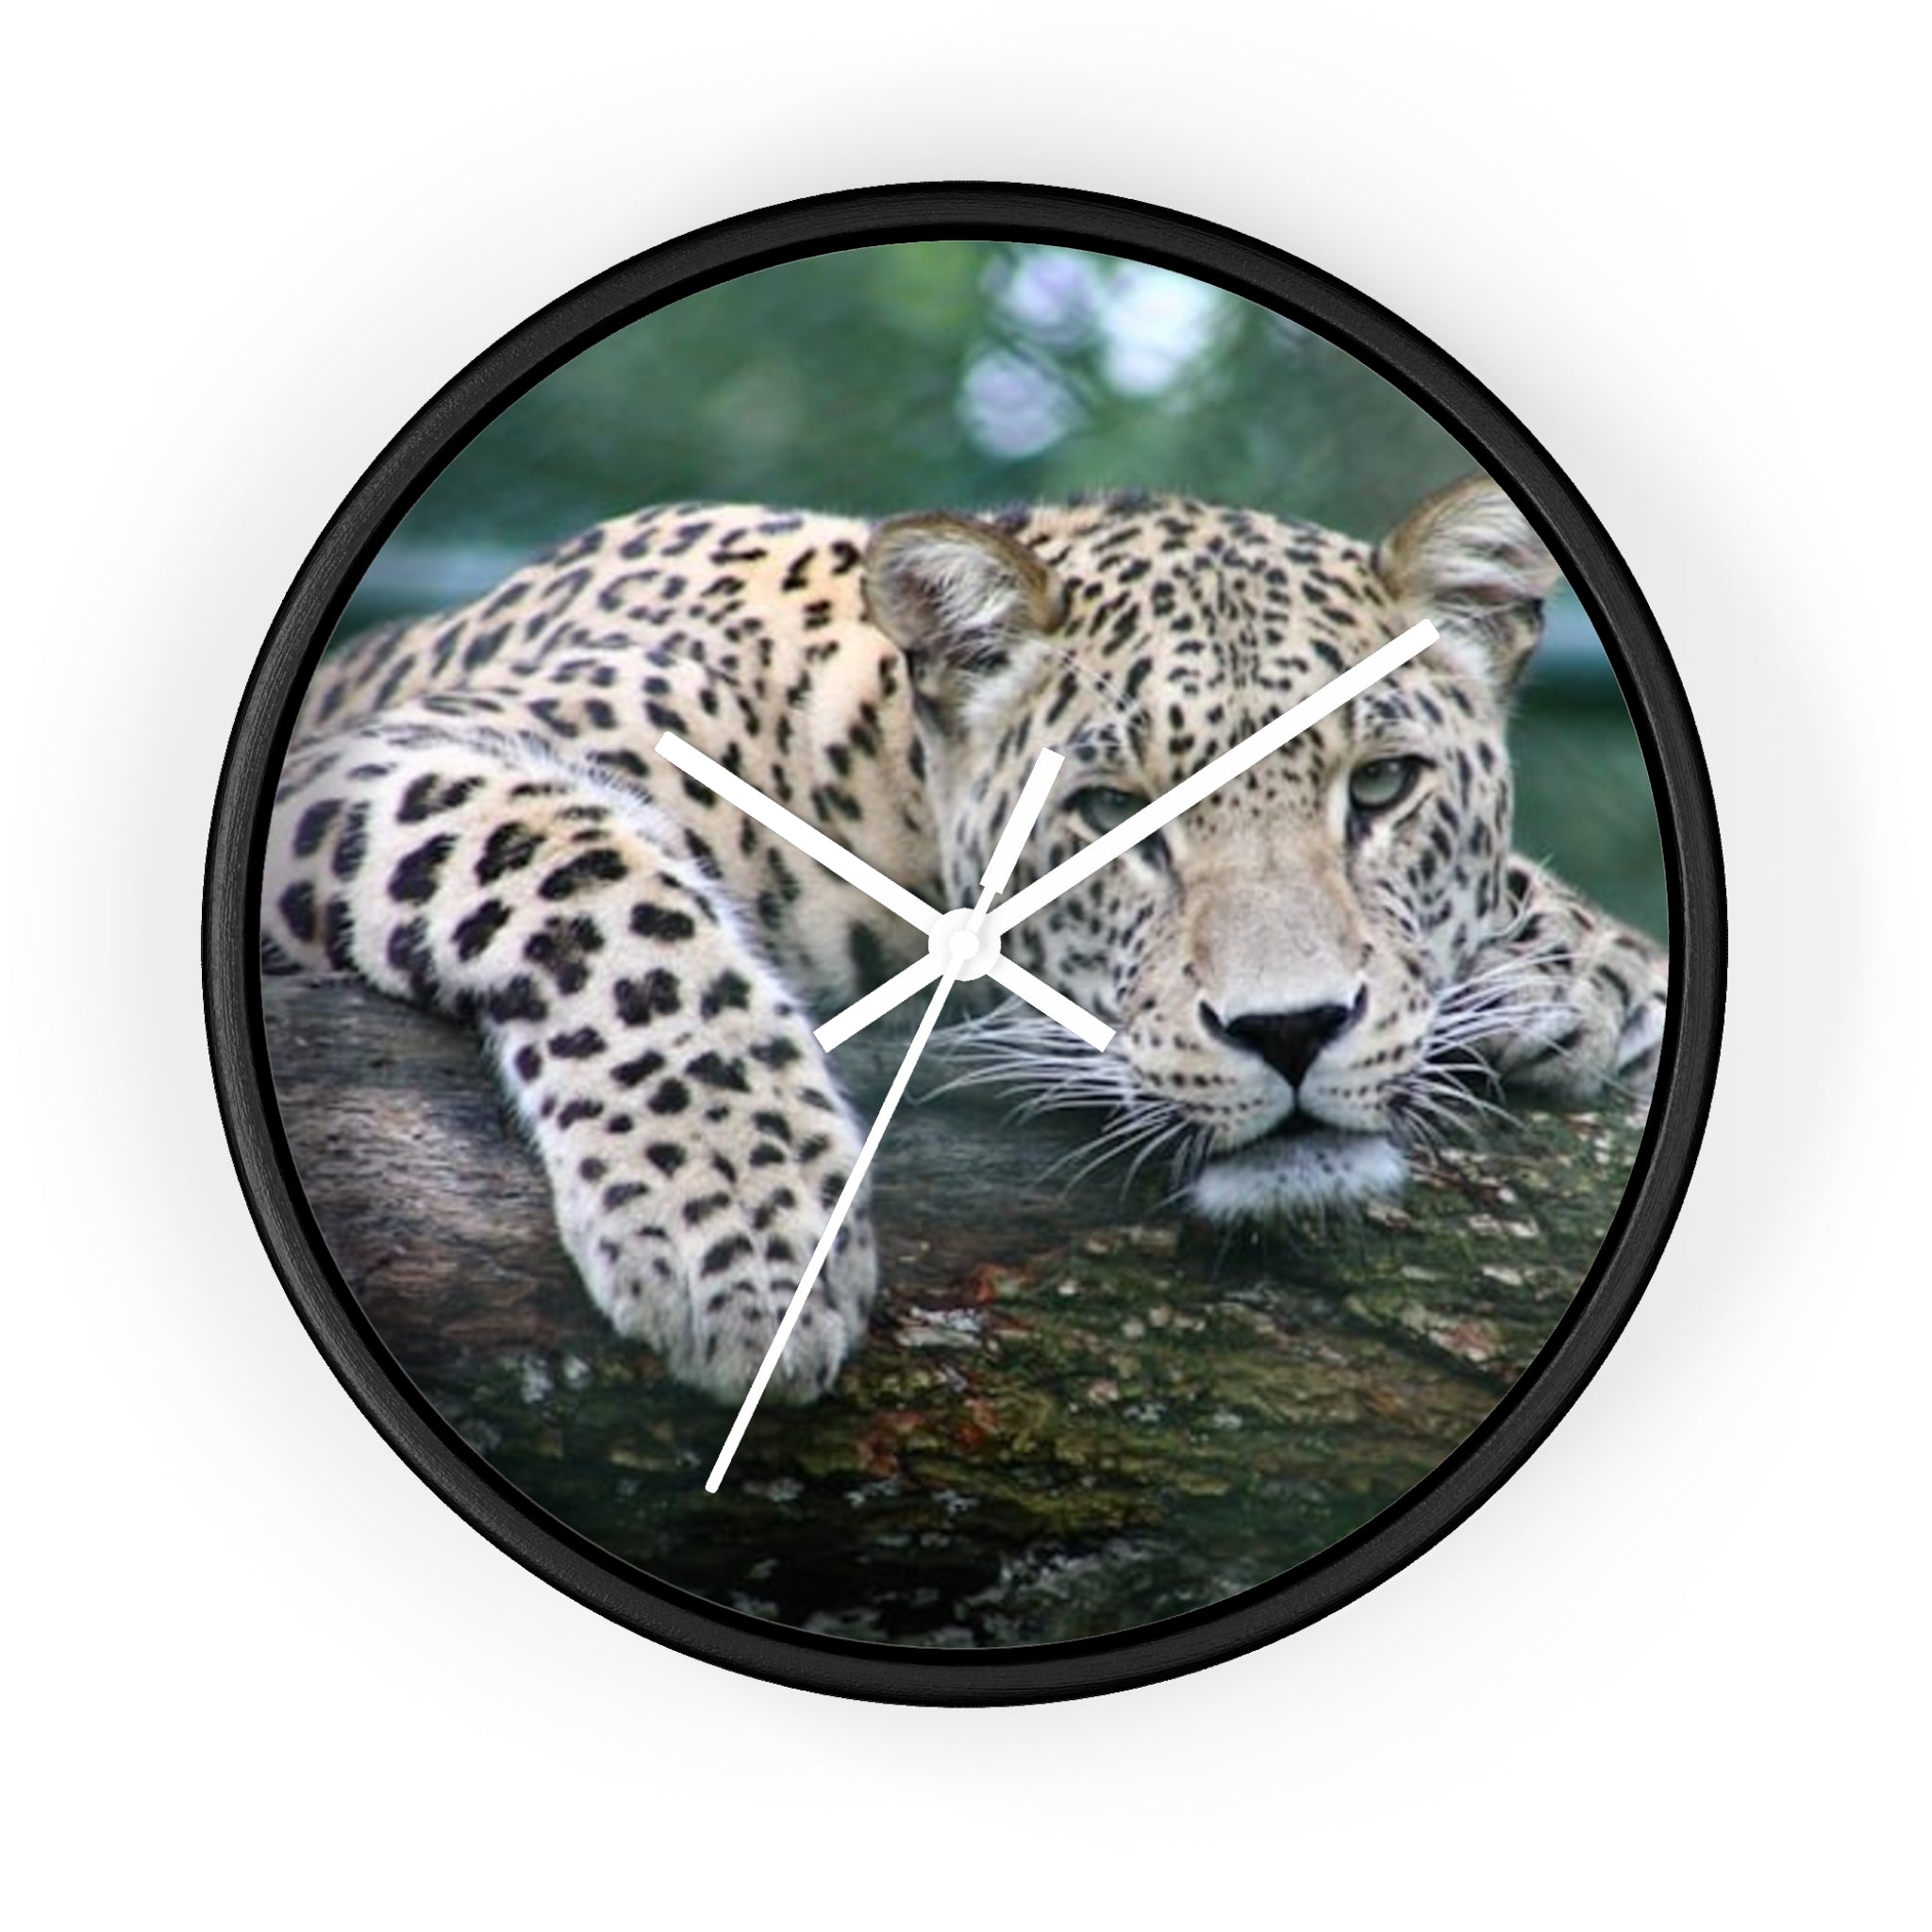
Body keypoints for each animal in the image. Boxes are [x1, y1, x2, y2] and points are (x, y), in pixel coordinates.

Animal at [262, 479, 1667, 1405]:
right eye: (1107, 814)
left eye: (1380, 787)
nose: (1290, 1031)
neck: (879, 779)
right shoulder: (379, 764)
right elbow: (604, 885)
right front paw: (742, 1231)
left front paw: (1584, 969)